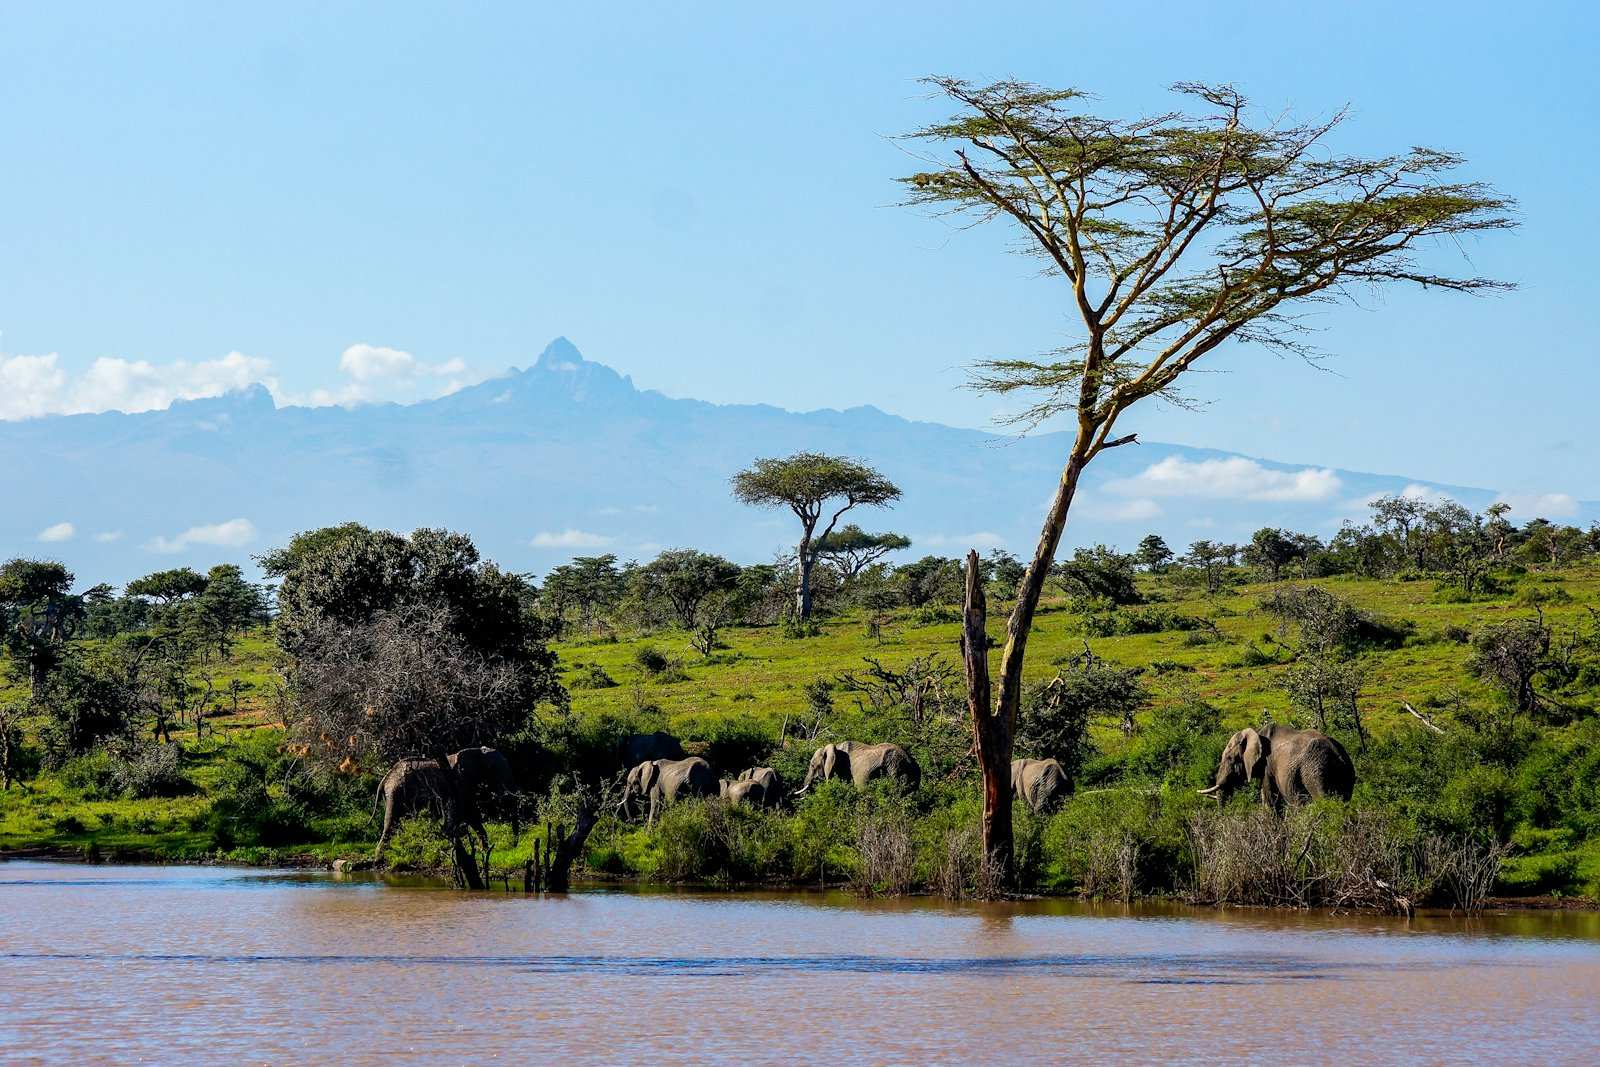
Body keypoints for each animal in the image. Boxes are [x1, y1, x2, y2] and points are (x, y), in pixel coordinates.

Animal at [372, 746, 518, 861]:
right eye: (493, 769)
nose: (514, 846)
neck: (476, 751)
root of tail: (384, 779)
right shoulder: (459, 785)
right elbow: (466, 814)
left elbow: (472, 816)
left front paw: (484, 850)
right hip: (396, 793)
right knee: (391, 823)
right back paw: (379, 858)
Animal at [1198, 725, 1354, 809]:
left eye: (1230, 758)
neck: (1257, 734)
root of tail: (1336, 753)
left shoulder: (1267, 766)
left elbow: (1269, 801)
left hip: (1314, 768)